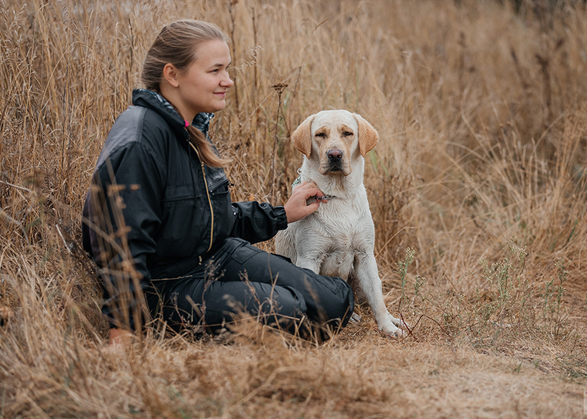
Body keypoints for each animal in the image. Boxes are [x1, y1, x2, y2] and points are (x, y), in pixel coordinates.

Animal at [276, 110, 406, 338]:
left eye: (348, 133)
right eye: (320, 135)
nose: (335, 155)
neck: (338, 195)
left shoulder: (365, 255)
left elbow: (378, 299)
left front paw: (387, 328)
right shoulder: (309, 258)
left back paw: (391, 319)